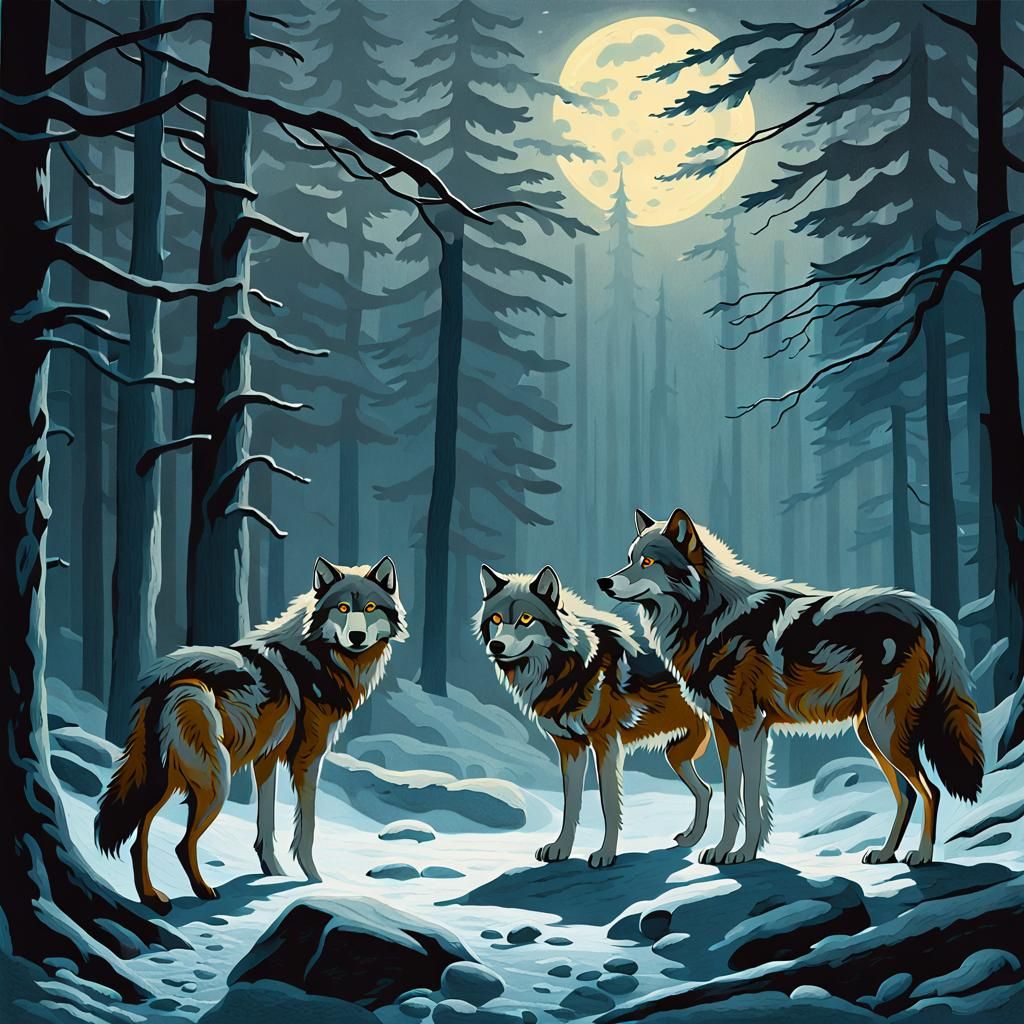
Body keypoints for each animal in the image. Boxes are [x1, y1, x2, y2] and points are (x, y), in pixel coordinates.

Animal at [95, 555, 406, 911]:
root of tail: (161, 682)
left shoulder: (266, 759)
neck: (321, 659)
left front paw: (273, 872)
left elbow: (266, 823)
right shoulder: (308, 759)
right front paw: (314, 881)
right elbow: (307, 828)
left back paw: (152, 898)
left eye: (369, 607)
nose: (356, 636)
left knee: (139, 837)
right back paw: (203, 892)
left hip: (167, 779)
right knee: (181, 843)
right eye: (342, 608)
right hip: (215, 781)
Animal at [476, 563, 712, 868]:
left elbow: (608, 803)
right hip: (677, 755)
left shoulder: (607, 744)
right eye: (496, 618)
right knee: (705, 790)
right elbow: (571, 804)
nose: (496, 646)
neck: (568, 668)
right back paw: (691, 838)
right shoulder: (571, 748)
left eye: (526, 618)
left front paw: (605, 854)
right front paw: (561, 849)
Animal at [599, 508, 984, 867]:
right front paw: (724, 850)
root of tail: (928, 613)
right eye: (629, 558)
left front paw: (743, 854)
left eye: (647, 562)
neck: (711, 619)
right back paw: (885, 853)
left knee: (930, 790)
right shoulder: (727, 730)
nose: (604, 582)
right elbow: (732, 797)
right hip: (872, 734)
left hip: (884, 730)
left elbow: (749, 797)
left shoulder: (750, 726)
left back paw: (922, 856)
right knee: (907, 793)